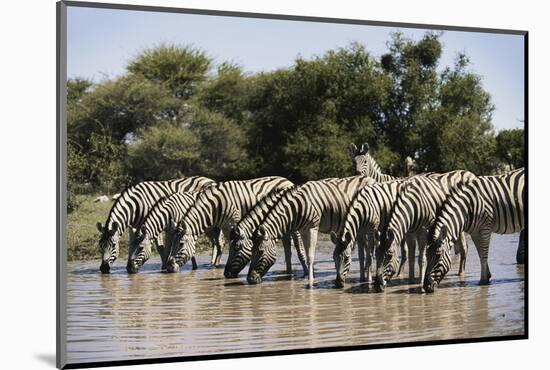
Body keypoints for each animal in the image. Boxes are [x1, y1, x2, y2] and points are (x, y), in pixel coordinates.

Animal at [167, 176, 298, 272]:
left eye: (181, 244)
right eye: (173, 243)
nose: (169, 267)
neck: (215, 206)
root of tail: (287, 180)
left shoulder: (232, 224)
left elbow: (230, 244)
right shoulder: (224, 226)